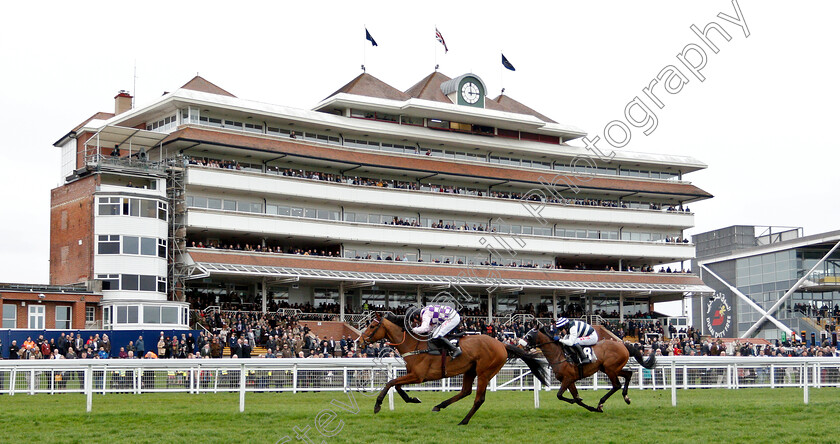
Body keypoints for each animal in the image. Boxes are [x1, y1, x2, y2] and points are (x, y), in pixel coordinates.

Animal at [358, 310, 548, 424]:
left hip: (484, 372)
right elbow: (396, 386)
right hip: (470, 370)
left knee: (478, 399)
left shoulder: (419, 376)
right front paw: (413, 399)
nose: (359, 342)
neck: (415, 344)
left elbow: (390, 383)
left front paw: (377, 405)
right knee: (465, 391)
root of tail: (502, 344)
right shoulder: (413, 374)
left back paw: (463, 421)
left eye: (372, 326)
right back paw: (440, 406)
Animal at [524, 324, 656, 412]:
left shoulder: (568, 378)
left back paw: (601, 403)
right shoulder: (569, 380)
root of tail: (623, 344)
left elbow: (560, 395)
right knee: (628, 374)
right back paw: (626, 398)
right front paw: (589, 407)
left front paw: (584, 403)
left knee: (617, 385)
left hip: (610, 369)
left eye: (529, 336)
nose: (523, 345)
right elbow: (575, 398)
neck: (559, 355)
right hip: (610, 368)